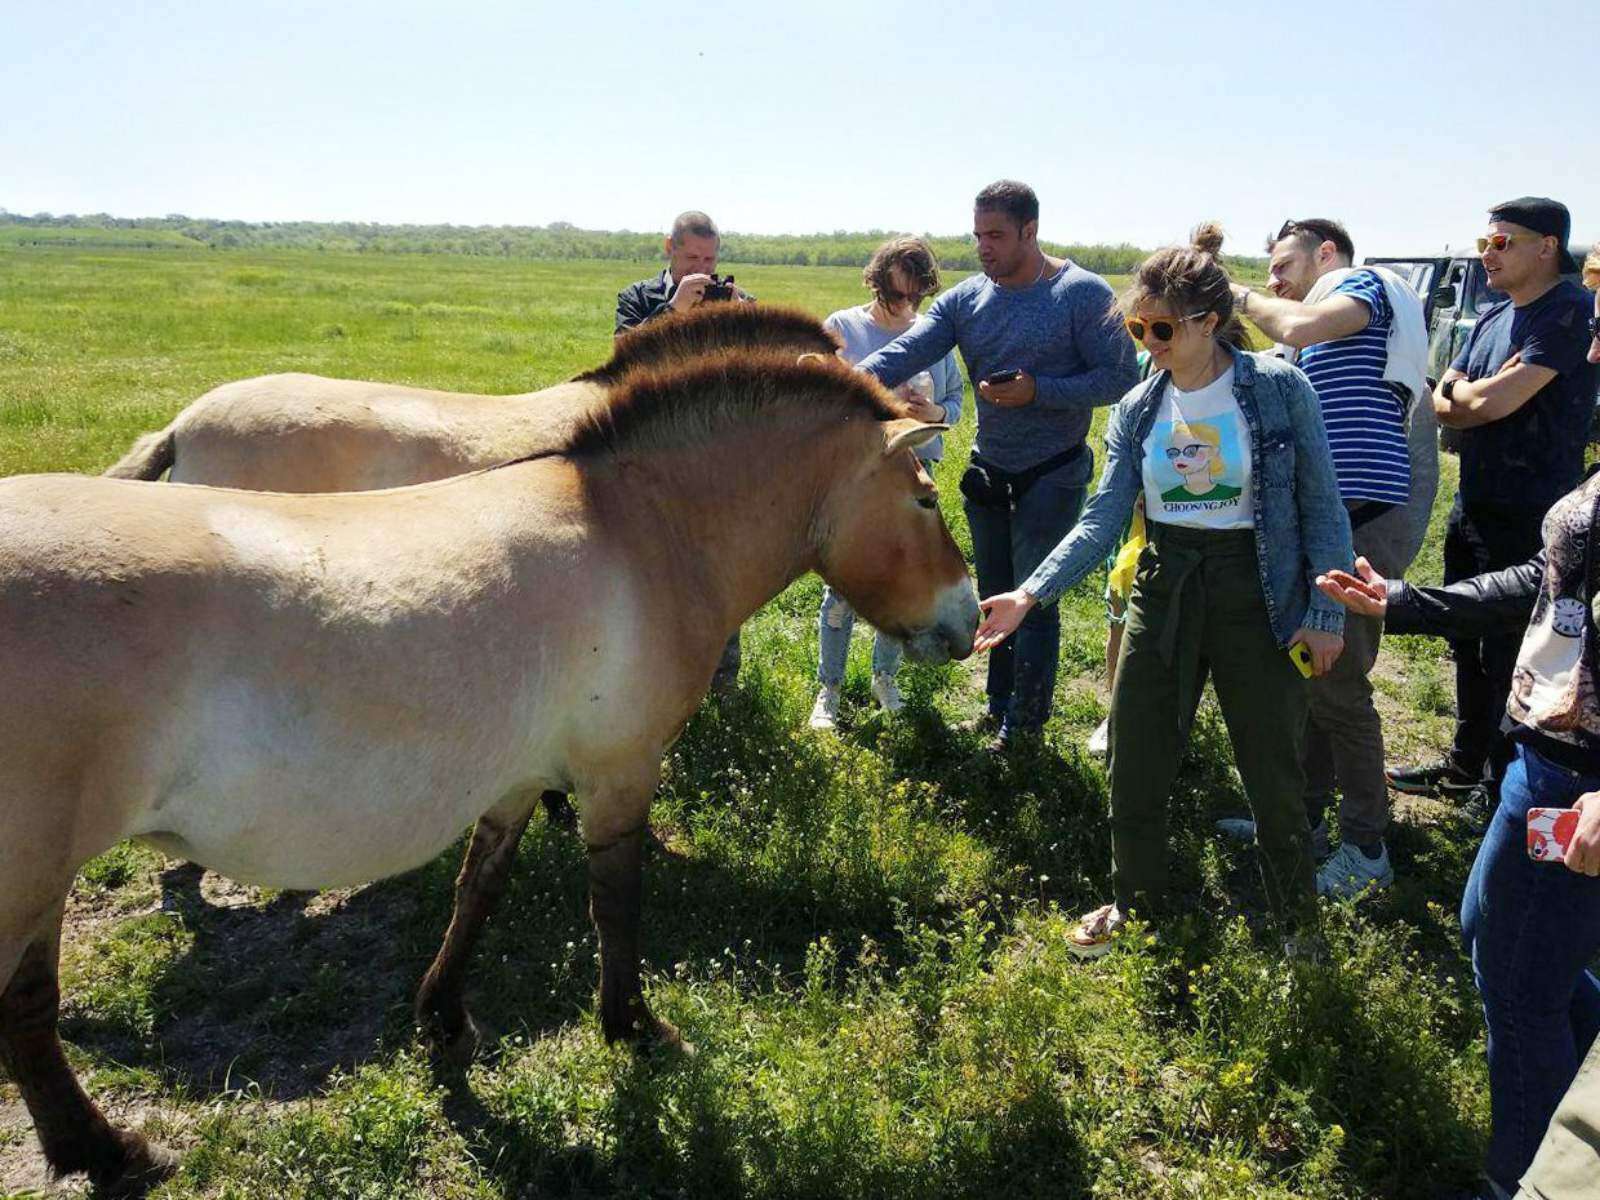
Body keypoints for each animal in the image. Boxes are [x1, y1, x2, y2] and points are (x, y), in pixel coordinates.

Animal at [0, 345, 972, 1196]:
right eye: (927, 499)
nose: (969, 621)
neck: (640, 530)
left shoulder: (514, 779)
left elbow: (480, 888)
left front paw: (443, 1019)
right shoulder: (620, 775)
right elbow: (616, 904)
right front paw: (632, 1027)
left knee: (30, 1011)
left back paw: (92, 1150)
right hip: (32, 877)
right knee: (26, 1010)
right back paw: (107, 1151)